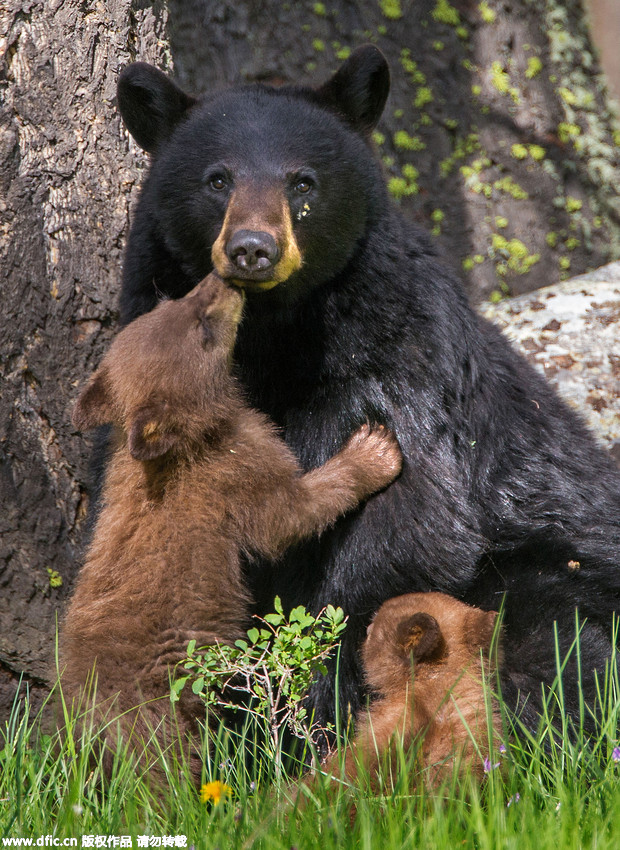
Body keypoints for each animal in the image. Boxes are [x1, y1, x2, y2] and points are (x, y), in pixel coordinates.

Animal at [114, 46, 620, 732]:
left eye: (303, 182)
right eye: (216, 179)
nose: (253, 249)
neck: (273, 338)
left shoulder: (397, 373)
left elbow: (398, 538)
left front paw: (321, 712)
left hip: (551, 575)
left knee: (551, 648)